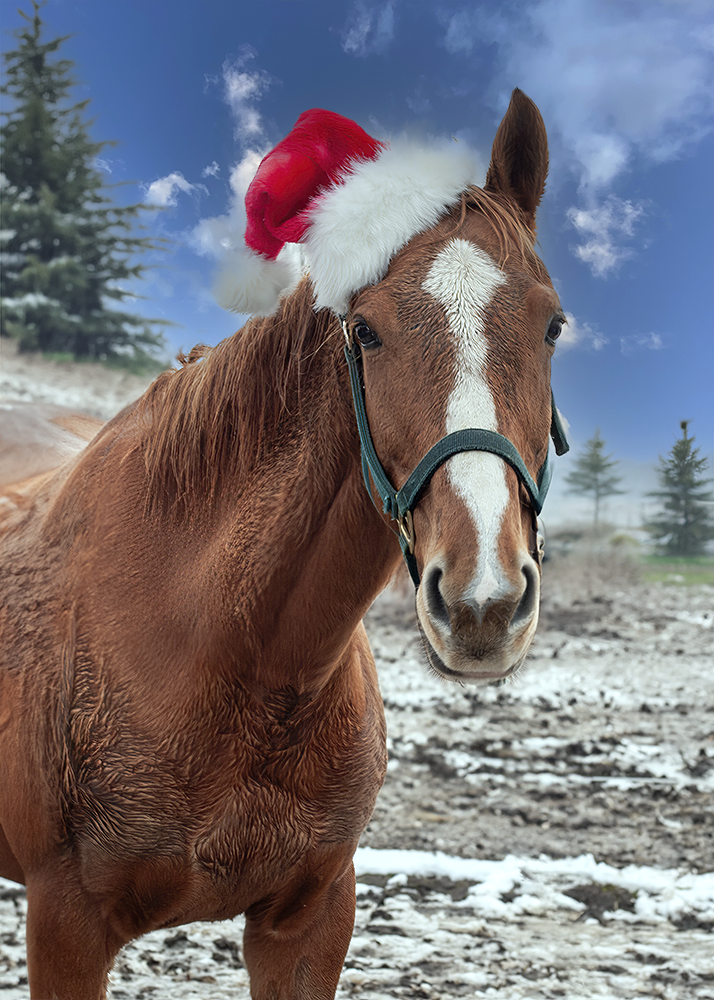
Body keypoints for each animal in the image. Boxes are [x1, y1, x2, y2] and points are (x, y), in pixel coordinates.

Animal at [0, 89, 568, 999]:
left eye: (552, 325)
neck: (232, 657)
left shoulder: (308, 919)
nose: (484, 601)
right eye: (364, 331)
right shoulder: (66, 928)